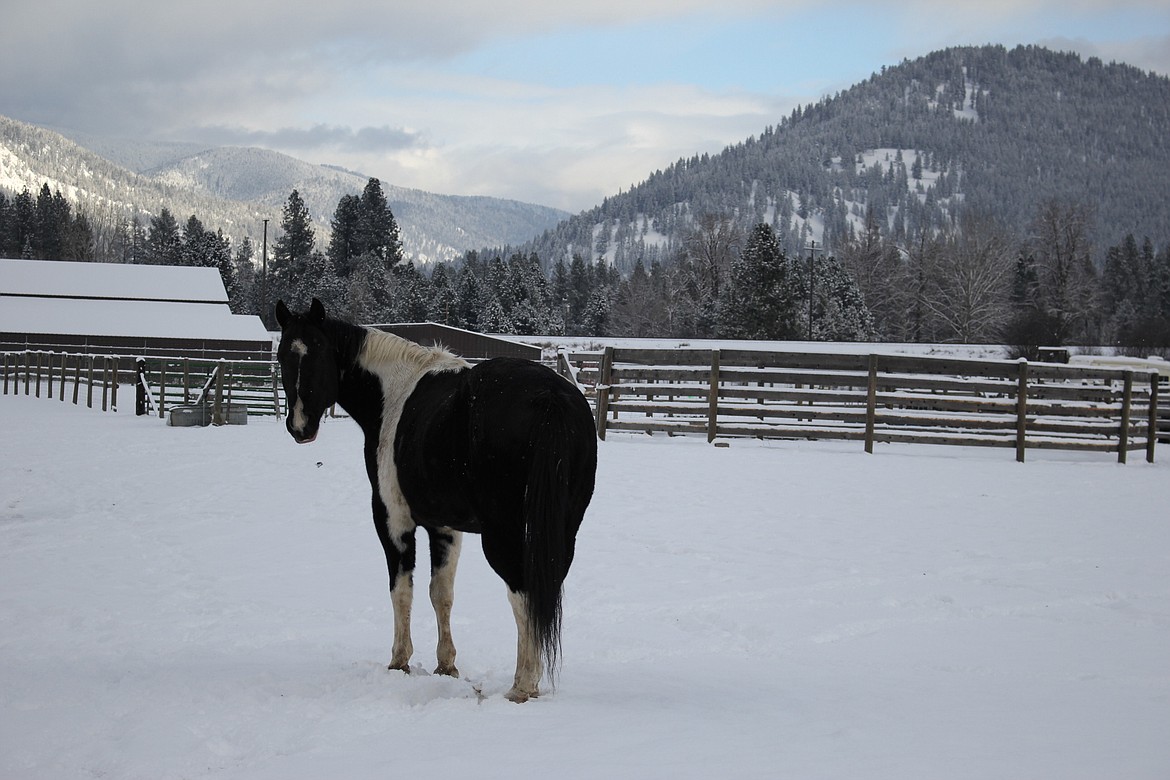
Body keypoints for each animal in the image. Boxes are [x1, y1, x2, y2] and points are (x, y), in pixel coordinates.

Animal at [276, 299, 594, 701]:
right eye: (283, 355)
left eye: (318, 351)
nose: (300, 427)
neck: (394, 393)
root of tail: (550, 397)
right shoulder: (445, 527)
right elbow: (441, 592)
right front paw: (447, 665)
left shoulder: (392, 520)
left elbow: (402, 590)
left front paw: (399, 660)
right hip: (563, 531)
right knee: (541, 593)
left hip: (504, 535)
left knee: (522, 596)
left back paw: (522, 686)